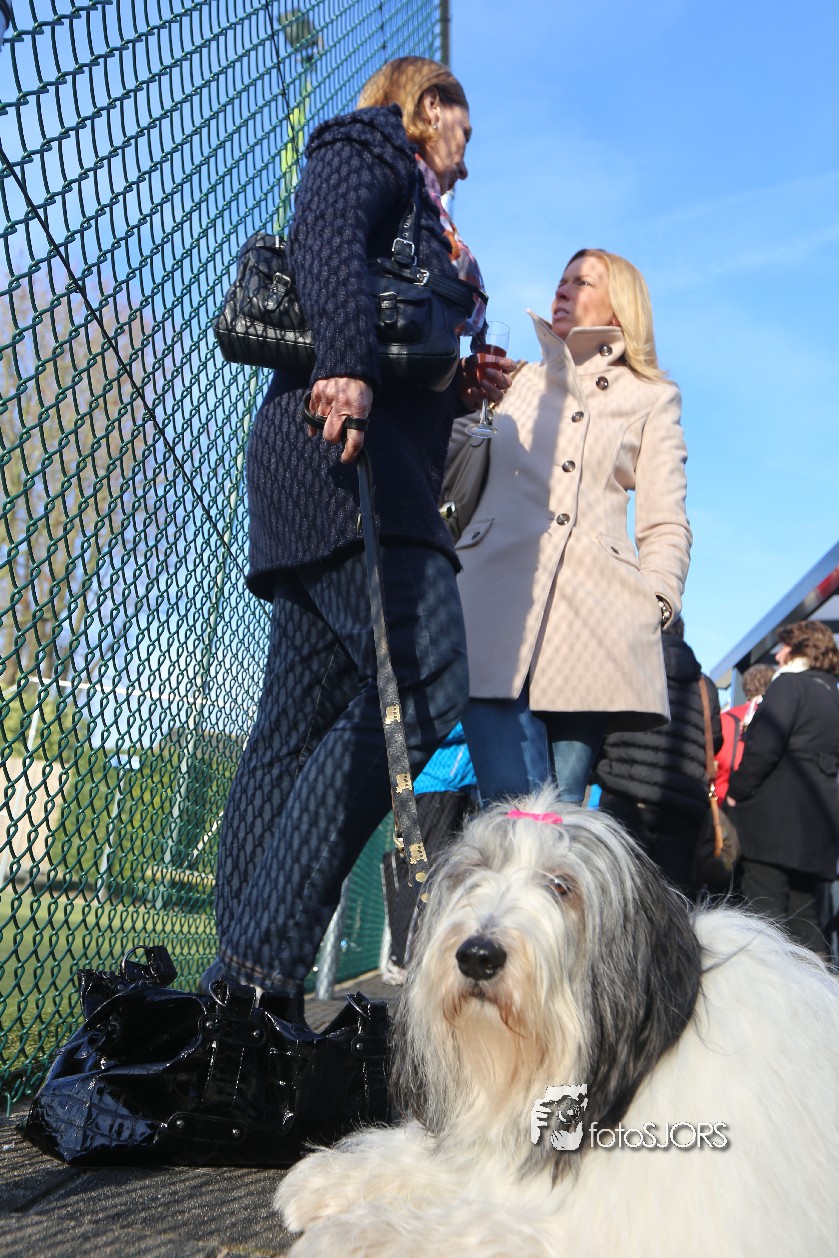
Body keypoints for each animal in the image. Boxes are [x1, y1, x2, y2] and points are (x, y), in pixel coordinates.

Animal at [275, 791, 839, 1257]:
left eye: (563, 886)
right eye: (475, 871)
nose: (477, 956)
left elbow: (483, 1228)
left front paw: (356, 1233)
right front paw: (333, 1176)